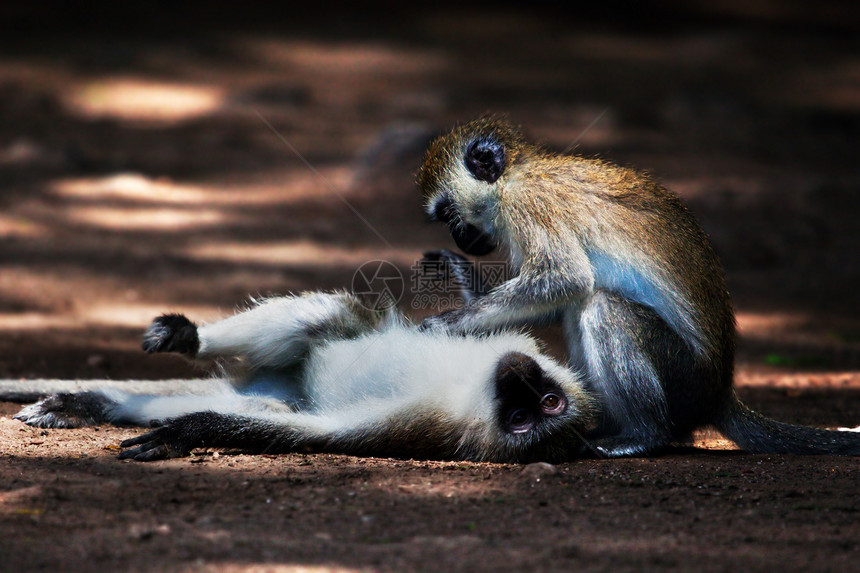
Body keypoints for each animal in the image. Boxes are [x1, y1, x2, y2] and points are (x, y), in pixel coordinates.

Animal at [13, 292, 596, 462]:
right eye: (546, 401)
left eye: (530, 414)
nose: (519, 375)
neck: (468, 393)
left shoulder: (416, 426)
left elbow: (320, 435)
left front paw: (189, 432)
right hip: (287, 368)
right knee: (321, 316)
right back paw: (184, 338)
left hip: (273, 397)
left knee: (262, 409)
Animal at [418, 116, 860, 456]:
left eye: (449, 214)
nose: (461, 239)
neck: (515, 174)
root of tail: (719, 392)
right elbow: (559, 297)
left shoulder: (528, 205)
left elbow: (565, 278)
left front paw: (449, 323)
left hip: (683, 378)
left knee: (603, 308)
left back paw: (644, 436)